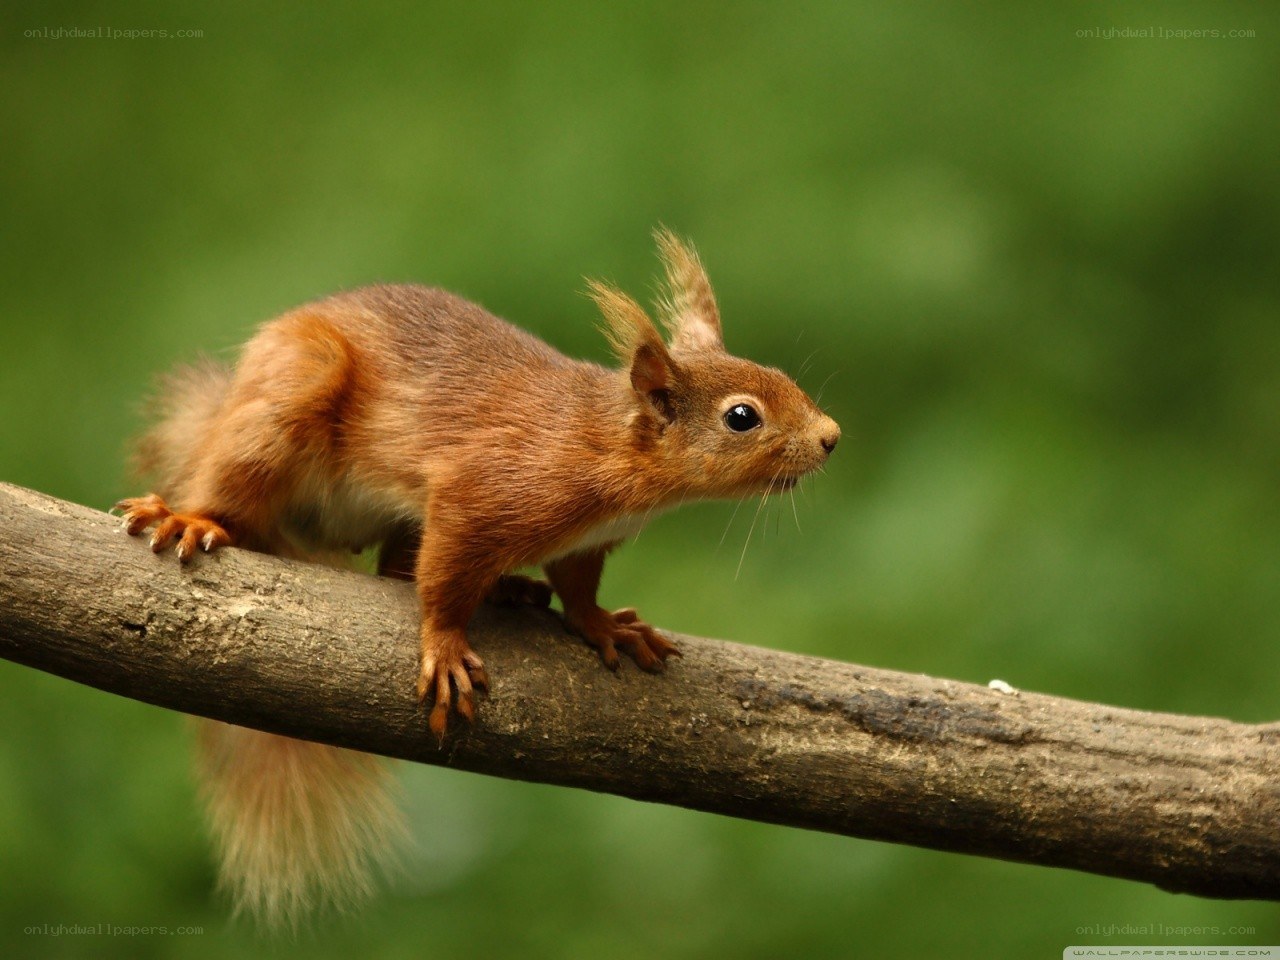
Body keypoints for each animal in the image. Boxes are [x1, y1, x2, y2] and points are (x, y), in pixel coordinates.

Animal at [115, 229, 840, 924]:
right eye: (742, 416)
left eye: (778, 375)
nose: (832, 436)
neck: (608, 449)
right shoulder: (482, 496)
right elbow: (443, 581)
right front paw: (444, 647)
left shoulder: (586, 542)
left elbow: (577, 588)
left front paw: (605, 626)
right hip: (290, 397)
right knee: (238, 485)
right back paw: (189, 516)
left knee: (394, 566)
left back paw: (509, 588)